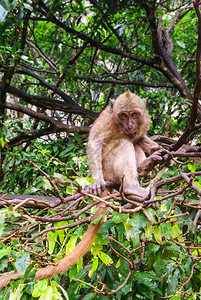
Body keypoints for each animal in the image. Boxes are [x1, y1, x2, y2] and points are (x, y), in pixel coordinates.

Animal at [0, 90, 163, 290]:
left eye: (134, 114)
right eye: (123, 115)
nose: (130, 124)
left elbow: (139, 138)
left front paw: (157, 149)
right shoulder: (107, 121)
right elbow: (94, 143)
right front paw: (96, 182)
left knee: (134, 143)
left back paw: (144, 167)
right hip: (109, 170)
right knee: (124, 143)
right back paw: (131, 186)